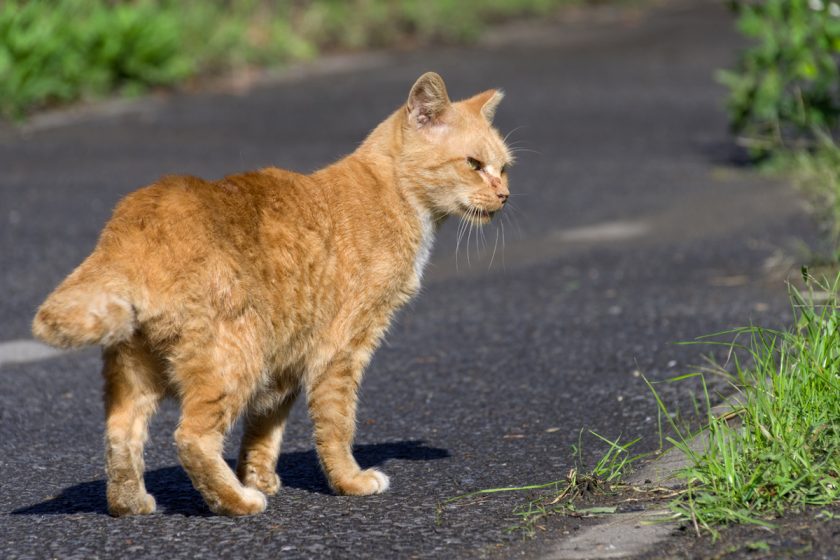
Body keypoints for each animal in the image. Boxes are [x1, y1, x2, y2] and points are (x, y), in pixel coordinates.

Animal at [32, 72, 512, 520]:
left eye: (504, 168)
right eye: (473, 164)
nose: (505, 195)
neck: (394, 195)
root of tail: (131, 221)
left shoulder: (284, 362)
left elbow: (265, 429)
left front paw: (259, 477)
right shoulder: (341, 350)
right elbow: (338, 423)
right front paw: (349, 481)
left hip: (140, 369)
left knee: (121, 434)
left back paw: (131, 504)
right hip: (235, 357)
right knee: (191, 437)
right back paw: (235, 502)